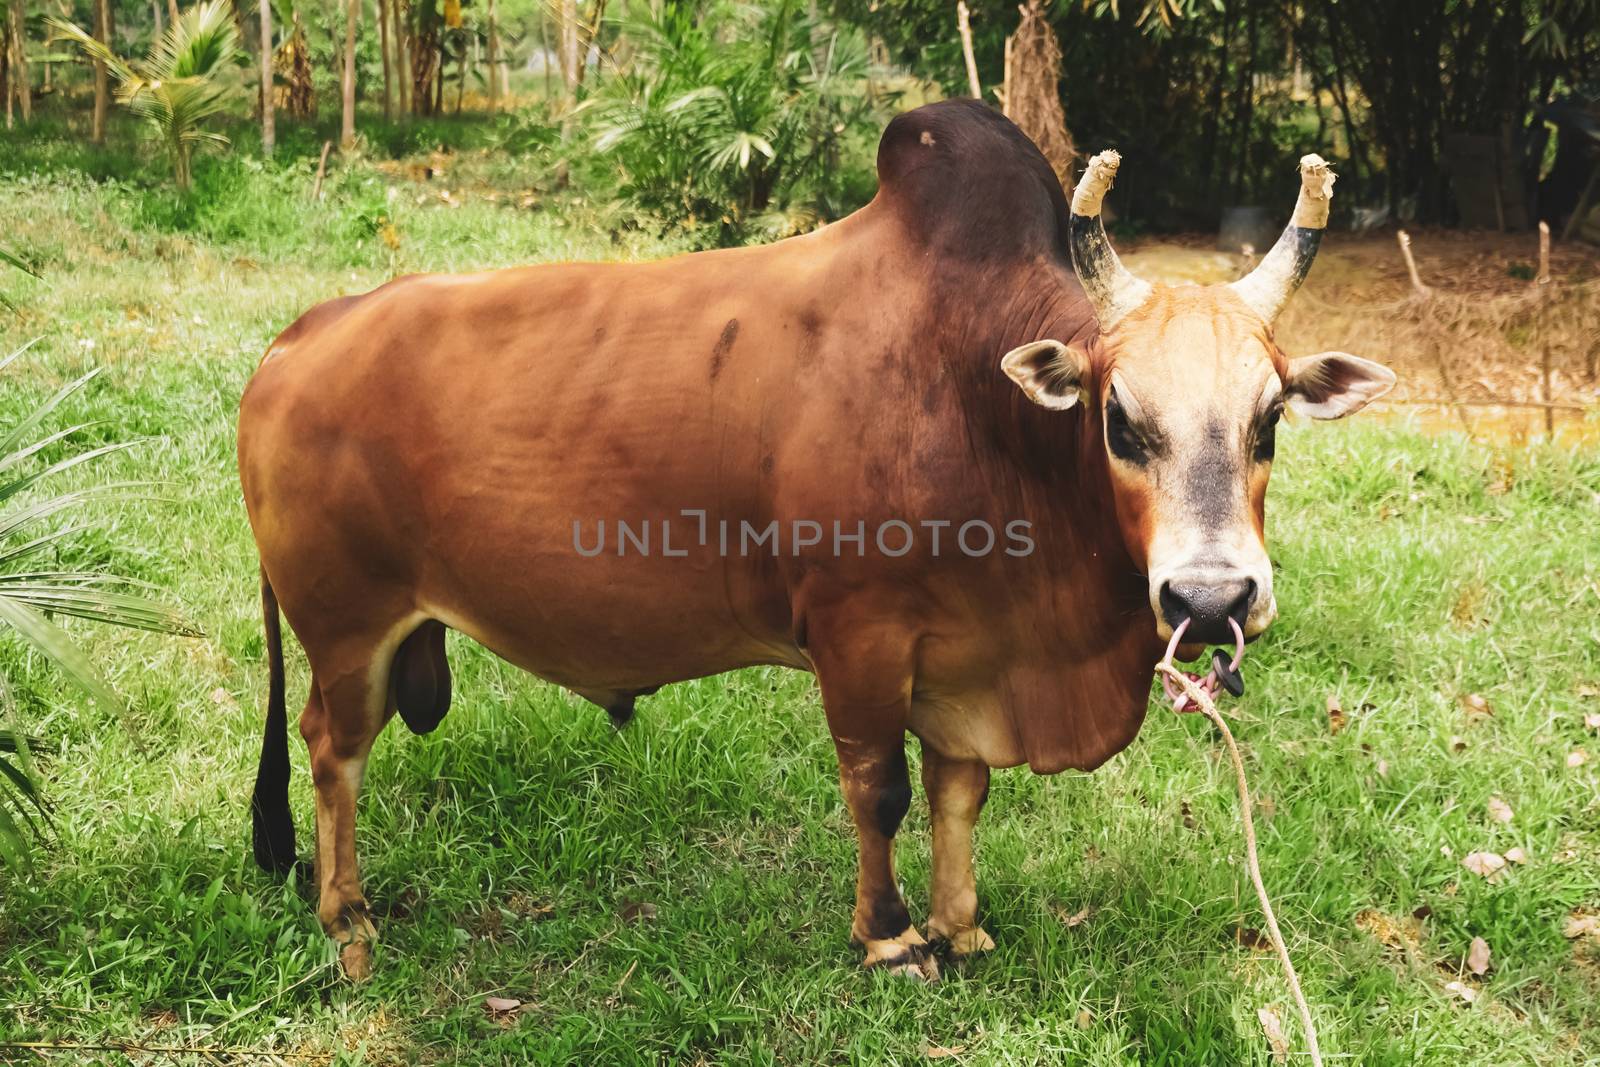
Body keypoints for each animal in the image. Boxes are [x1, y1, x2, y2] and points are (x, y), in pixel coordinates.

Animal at [236, 102, 1388, 985]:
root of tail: (296, 340)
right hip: (348, 627)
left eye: (1269, 419)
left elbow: (959, 790)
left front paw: (962, 923)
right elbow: (878, 788)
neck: (981, 405)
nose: (1209, 601)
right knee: (332, 748)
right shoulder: (859, 632)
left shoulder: (965, 654)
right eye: (1118, 418)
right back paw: (348, 919)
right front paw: (892, 938)